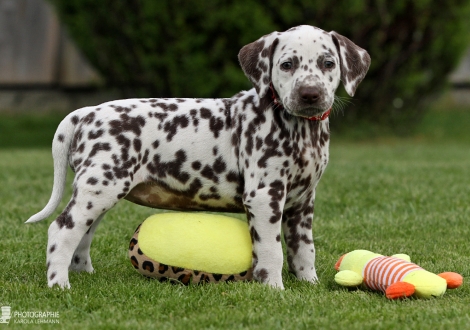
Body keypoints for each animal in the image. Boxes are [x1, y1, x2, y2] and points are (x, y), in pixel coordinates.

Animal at [26, 25, 370, 288]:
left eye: (328, 63)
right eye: (287, 65)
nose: (310, 94)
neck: (300, 130)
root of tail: (86, 113)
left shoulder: (302, 201)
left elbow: (303, 250)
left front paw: (309, 285)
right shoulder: (264, 196)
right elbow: (272, 251)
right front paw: (274, 288)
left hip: (98, 193)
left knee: (82, 236)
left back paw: (84, 274)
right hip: (100, 187)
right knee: (63, 230)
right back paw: (59, 284)